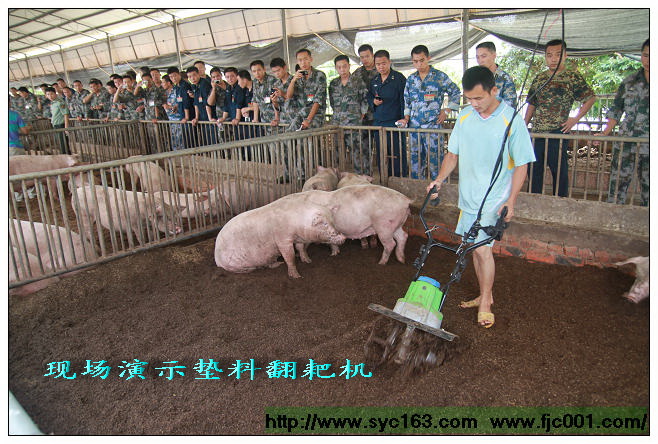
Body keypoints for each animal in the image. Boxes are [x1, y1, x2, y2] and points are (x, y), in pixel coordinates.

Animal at [214, 198, 346, 278]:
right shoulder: (282, 239)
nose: (344, 236)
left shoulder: (298, 238)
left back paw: (278, 263)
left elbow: (300, 248)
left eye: (333, 221)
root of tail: (217, 259)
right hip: (235, 265)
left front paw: (308, 261)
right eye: (324, 224)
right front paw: (297, 276)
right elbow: (290, 256)